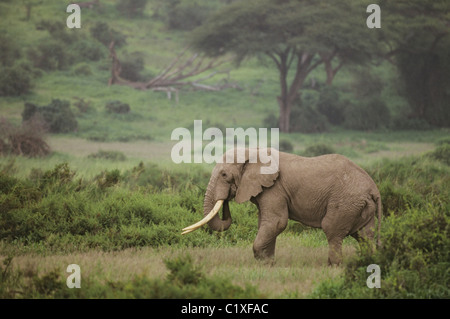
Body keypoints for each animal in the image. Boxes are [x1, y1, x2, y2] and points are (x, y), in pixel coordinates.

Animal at [181, 149, 382, 266]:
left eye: (224, 175)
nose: (226, 199)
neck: (253, 152)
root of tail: (374, 189)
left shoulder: (274, 188)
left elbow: (276, 222)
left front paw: (262, 261)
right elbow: (266, 222)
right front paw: (268, 264)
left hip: (346, 202)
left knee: (332, 230)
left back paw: (334, 266)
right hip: (360, 206)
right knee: (365, 236)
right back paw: (367, 263)